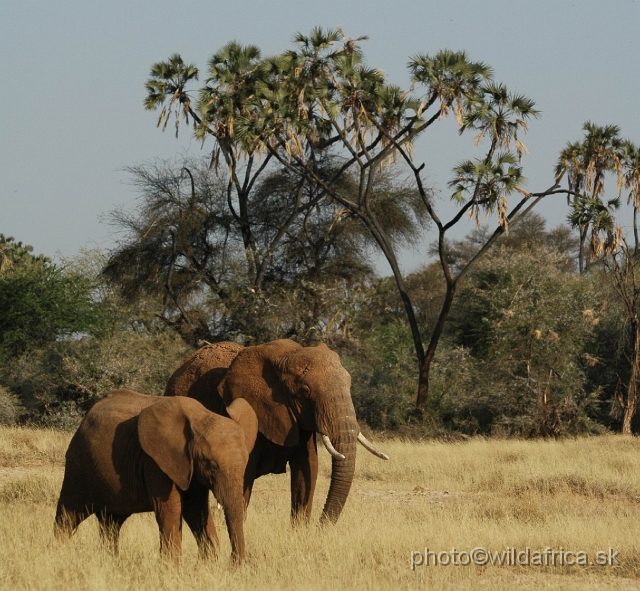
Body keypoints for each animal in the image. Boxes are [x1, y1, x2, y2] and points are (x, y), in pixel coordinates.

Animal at [53, 388, 258, 564]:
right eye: (212, 466)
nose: (232, 564)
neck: (201, 417)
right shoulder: (156, 462)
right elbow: (170, 510)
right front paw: (172, 568)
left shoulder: (189, 467)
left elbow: (197, 510)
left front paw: (206, 565)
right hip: (79, 464)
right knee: (68, 516)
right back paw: (57, 555)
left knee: (111, 523)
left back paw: (110, 561)